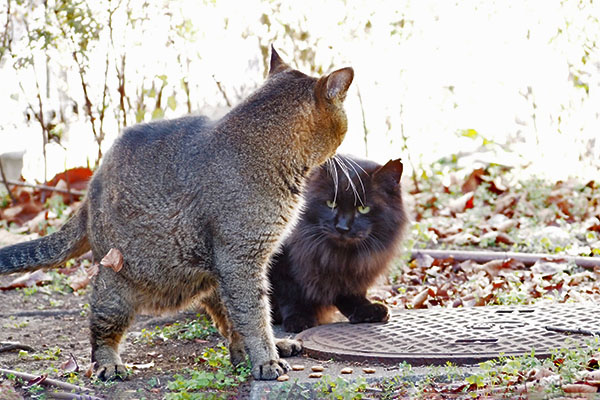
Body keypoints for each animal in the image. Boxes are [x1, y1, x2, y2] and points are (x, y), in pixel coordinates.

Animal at [268, 155, 406, 332]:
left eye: (363, 209)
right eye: (331, 204)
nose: (342, 227)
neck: (337, 255)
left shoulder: (350, 272)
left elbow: (349, 293)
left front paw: (365, 309)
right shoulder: (281, 263)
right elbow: (290, 294)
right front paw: (299, 319)